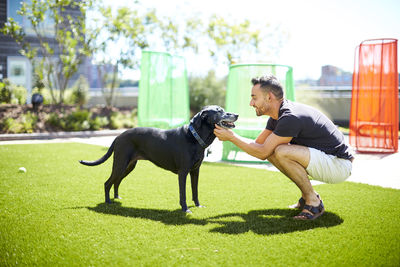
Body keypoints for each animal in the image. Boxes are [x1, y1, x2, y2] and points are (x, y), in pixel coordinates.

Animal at [79, 106, 239, 214]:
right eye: (219, 111)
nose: (237, 114)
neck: (194, 137)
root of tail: (118, 136)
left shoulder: (195, 171)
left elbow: (195, 191)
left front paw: (198, 205)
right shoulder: (183, 172)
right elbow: (183, 193)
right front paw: (185, 209)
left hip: (129, 166)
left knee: (116, 182)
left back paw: (116, 197)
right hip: (120, 164)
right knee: (107, 183)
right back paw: (107, 202)